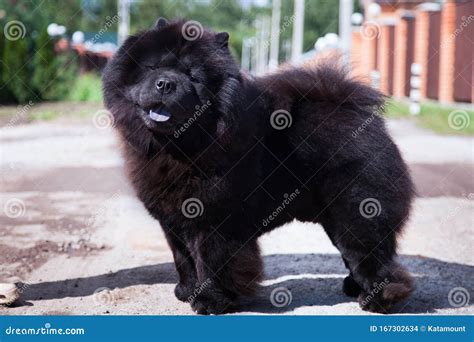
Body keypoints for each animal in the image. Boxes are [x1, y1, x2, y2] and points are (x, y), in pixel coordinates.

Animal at [102, 18, 412, 312]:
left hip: (356, 212)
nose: (165, 83)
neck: (176, 148)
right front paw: (185, 291)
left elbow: (212, 263)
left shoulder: (215, 222)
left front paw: (210, 302)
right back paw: (354, 287)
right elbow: (184, 259)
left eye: (193, 77)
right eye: (153, 68)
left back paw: (377, 299)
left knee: (371, 257)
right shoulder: (173, 222)